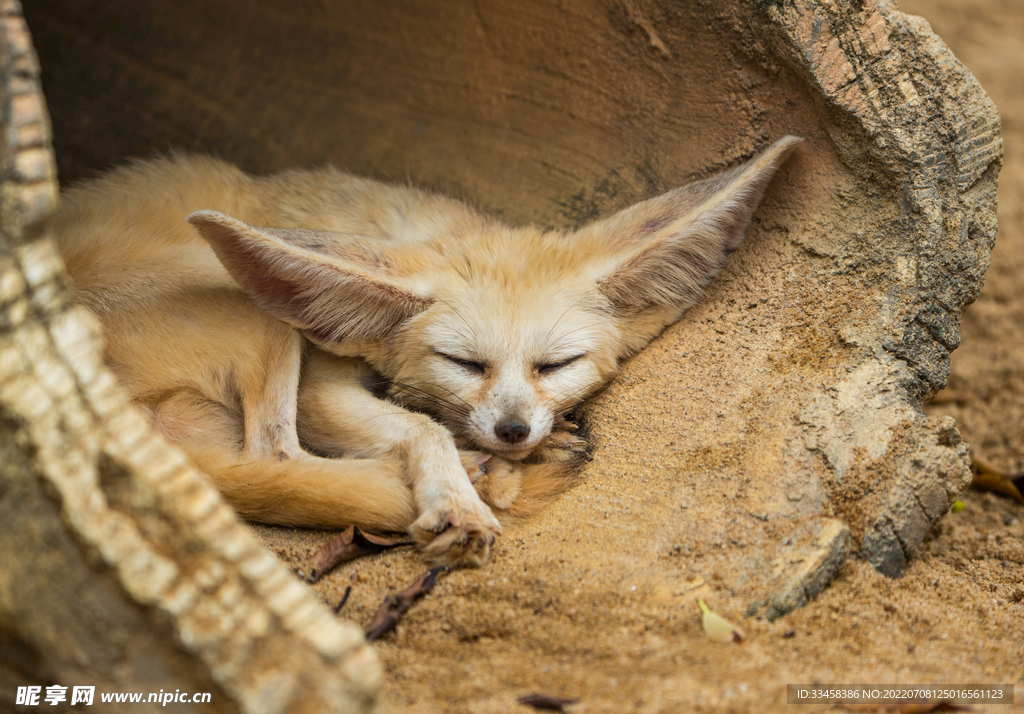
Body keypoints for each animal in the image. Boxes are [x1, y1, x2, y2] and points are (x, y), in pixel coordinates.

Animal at [51, 136, 802, 565]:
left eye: (556, 365)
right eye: (464, 363)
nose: (513, 430)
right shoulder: (320, 385)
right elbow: (420, 426)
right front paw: (457, 494)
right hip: (256, 317)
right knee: (276, 456)